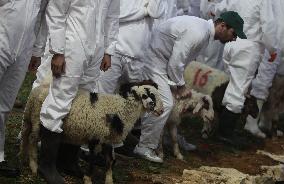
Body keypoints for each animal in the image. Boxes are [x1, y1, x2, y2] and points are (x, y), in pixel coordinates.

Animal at [19, 82, 164, 184]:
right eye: (148, 96)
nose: (161, 111)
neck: (120, 110)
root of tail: (36, 91)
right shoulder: (95, 136)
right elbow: (93, 158)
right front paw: (88, 178)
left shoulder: (107, 139)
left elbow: (110, 160)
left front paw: (109, 180)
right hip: (38, 120)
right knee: (32, 139)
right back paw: (33, 166)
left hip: (29, 118)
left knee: (26, 137)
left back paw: (24, 157)